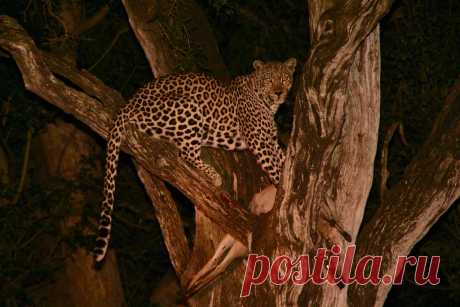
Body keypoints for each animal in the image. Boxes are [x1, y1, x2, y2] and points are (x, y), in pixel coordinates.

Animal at [94, 57, 296, 264]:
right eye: (269, 79)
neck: (266, 103)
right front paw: (281, 189)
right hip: (188, 107)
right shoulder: (259, 142)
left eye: (283, 78)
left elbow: (284, 158)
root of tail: (130, 101)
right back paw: (214, 176)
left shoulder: (270, 141)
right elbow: (274, 168)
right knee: (186, 153)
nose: (278, 92)